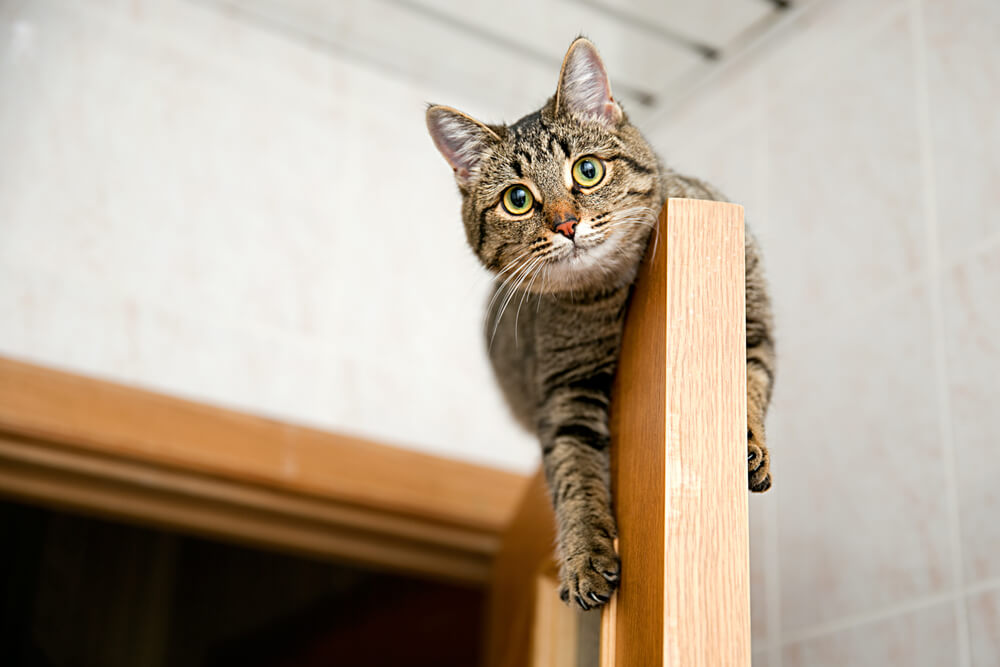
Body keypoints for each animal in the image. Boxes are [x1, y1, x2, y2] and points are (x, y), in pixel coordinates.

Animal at [424, 36, 772, 612]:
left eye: (587, 171)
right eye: (518, 199)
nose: (566, 224)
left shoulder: (750, 310)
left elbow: (748, 380)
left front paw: (746, 444)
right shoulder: (566, 388)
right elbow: (574, 473)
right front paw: (585, 553)